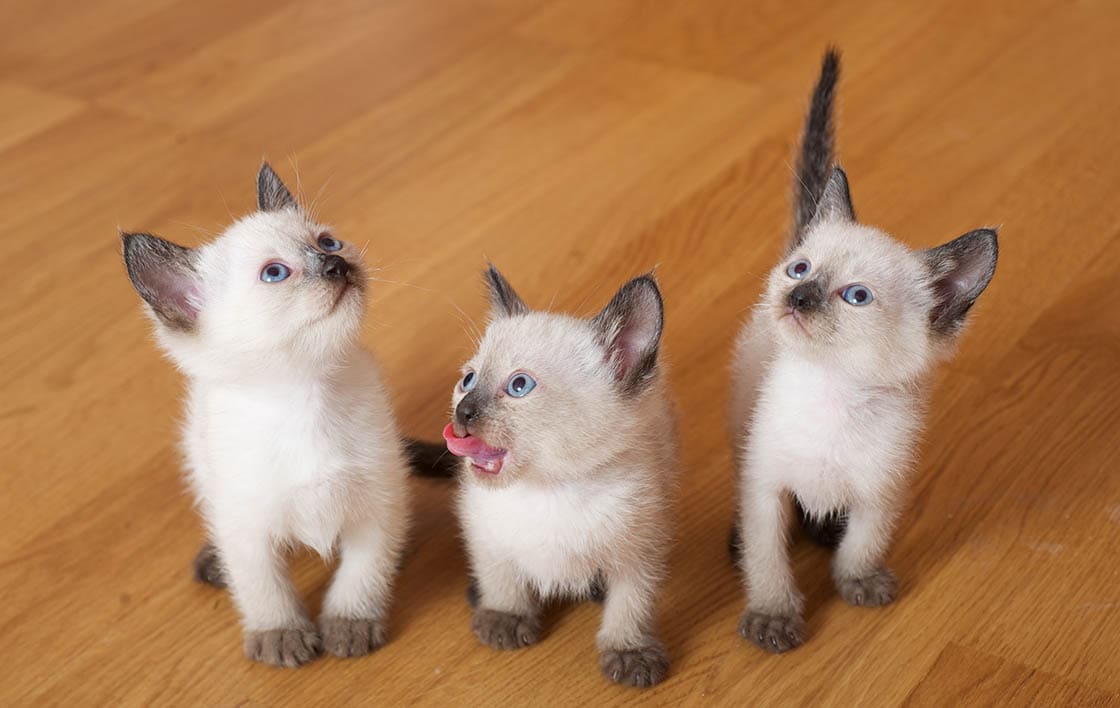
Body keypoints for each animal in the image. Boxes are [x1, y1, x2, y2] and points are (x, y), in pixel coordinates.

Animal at [122, 163, 421, 667]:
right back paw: (213, 560)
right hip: (200, 462)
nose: (336, 265)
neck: (303, 396)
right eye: (275, 273)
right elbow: (262, 586)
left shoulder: (378, 504)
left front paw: (350, 624)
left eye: (327, 242)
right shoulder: (248, 527)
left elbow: (362, 573)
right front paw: (280, 635)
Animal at [443, 267, 672, 690]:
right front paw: (505, 615)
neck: (552, 488)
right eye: (468, 380)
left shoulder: (641, 548)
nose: (463, 412)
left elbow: (631, 603)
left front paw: (629, 650)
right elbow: (498, 571)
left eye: (519, 386)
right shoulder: (482, 526)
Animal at [730, 49, 1003, 654]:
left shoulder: (883, 488)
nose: (799, 296)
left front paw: (858, 581)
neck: (832, 392)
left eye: (856, 297)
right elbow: (768, 556)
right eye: (800, 269)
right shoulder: (766, 486)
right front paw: (773, 616)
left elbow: (864, 541)